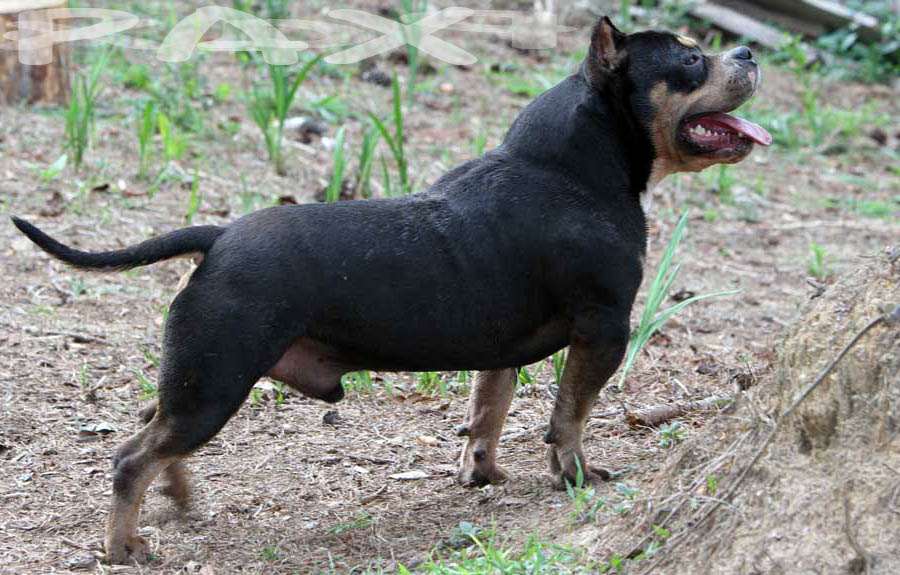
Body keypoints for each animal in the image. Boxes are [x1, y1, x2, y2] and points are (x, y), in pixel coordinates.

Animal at [10, 16, 768, 564]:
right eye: (692, 62)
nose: (750, 54)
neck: (572, 167)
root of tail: (219, 236)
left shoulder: (502, 351)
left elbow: (488, 411)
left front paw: (482, 473)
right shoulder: (605, 330)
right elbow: (571, 415)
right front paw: (575, 474)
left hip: (201, 376)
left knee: (152, 429)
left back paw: (179, 501)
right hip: (217, 381)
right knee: (130, 457)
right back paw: (123, 546)